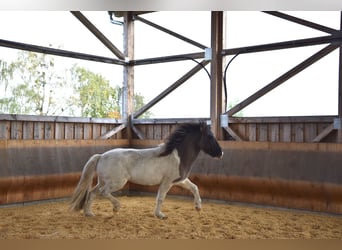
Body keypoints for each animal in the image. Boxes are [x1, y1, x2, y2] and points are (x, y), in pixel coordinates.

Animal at [70, 122, 224, 219]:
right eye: (210, 137)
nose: (221, 153)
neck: (177, 156)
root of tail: (101, 156)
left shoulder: (179, 180)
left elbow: (194, 187)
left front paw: (198, 207)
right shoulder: (167, 182)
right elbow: (160, 197)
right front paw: (160, 215)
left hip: (103, 181)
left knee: (92, 193)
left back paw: (89, 214)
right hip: (117, 182)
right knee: (103, 192)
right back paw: (116, 207)